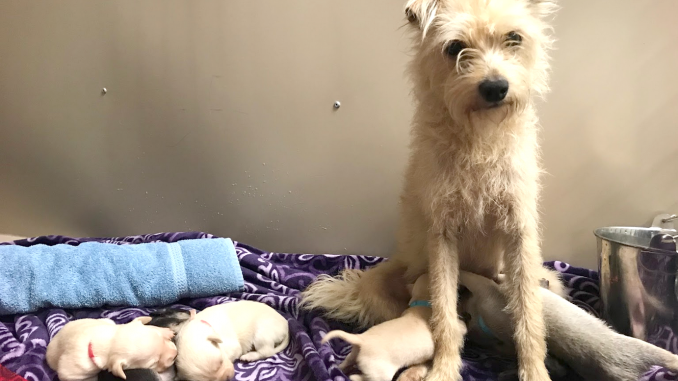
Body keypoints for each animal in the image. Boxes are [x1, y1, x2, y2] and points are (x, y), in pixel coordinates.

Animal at [46, 314, 177, 380]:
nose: (175, 354)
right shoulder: (72, 372)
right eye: (153, 363)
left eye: (160, 337)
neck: (106, 341)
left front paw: (166, 331)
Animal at [302, 0, 556, 380]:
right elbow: (444, 316)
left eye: (514, 37)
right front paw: (445, 369)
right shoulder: (443, 236)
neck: (479, 138)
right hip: (380, 284)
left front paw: (535, 370)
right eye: (454, 47)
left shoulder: (518, 233)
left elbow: (528, 315)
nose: (495, 87)